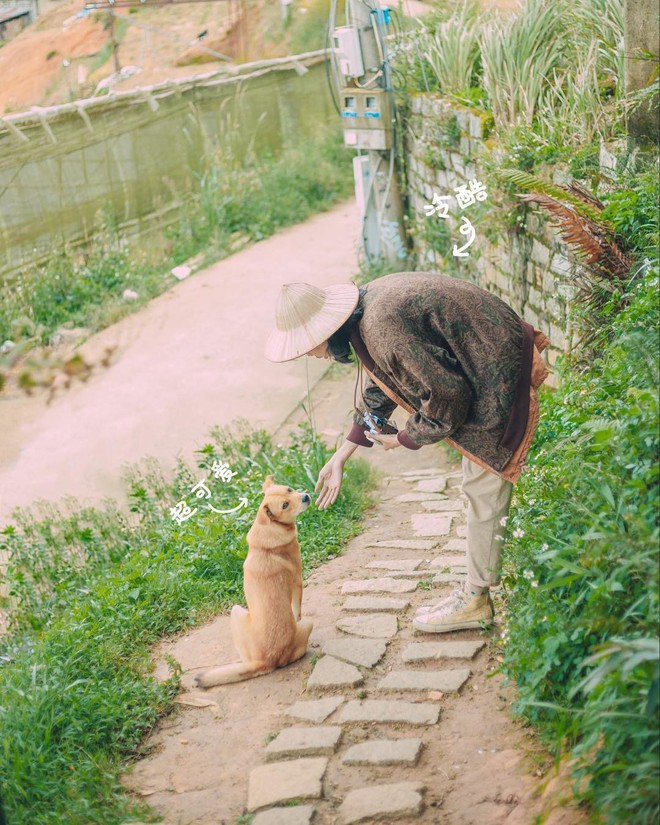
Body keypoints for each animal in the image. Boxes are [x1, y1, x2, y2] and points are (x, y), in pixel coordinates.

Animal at [195, 474, 314, 684]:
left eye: (289, 489)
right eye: (285, 505)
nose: (306, 497)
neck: (271, 527)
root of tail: (266, 661)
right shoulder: (298, 581)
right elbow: (297, 609)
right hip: (239, 611)